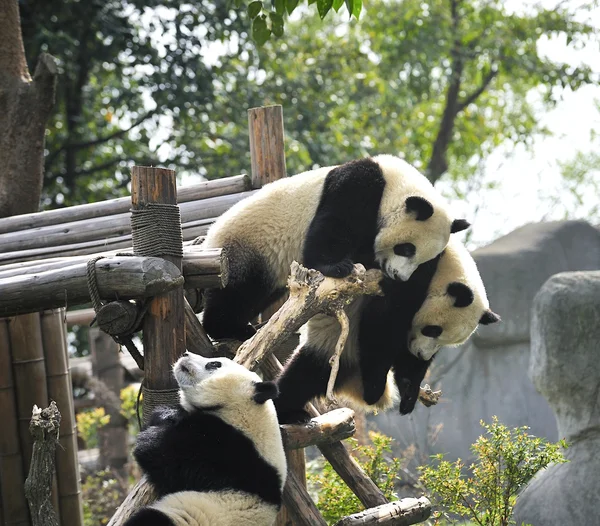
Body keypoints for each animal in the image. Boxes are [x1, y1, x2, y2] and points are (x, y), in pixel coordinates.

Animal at [124, 352, 286, 526]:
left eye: (215, 364)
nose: (185, 353)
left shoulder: (231, 453)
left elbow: (168, 455)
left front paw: (150, 439)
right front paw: (167, 414)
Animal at [202, 154, 468, 342]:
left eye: (421, 259)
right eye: (406, 249)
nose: (399, 276)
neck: (392, 184)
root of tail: (210, 240)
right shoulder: (357, 186)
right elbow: (332, 228)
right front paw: (338, 266)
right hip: (247, 247)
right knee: (239, 291)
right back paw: (228, 327)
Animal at [274, 239, 500, 424]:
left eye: (443, 341)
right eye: (433, 330)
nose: (421, 354)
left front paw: (409, 389)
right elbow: (382, 325)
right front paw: (374, 388)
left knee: (308, 377)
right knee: (299, 378)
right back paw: (287, 413)